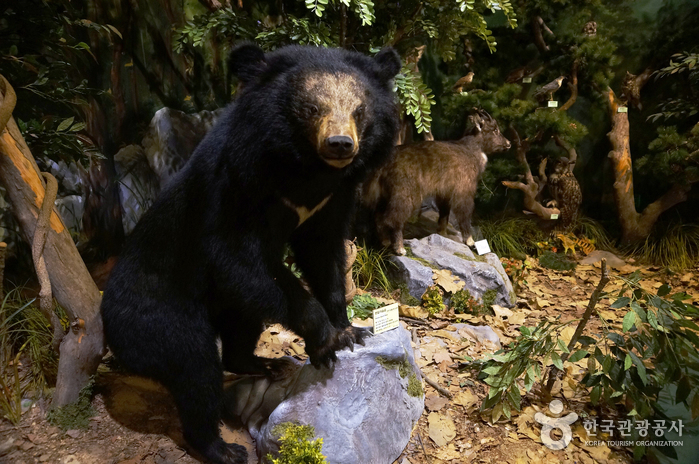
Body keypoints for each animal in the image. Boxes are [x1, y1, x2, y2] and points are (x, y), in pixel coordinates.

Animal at [101, 44, 402, 464]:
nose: (340, 144)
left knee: (239, 330)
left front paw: (349, 330)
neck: (303, 170)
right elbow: (235, 259)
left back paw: (267, 364)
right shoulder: (237, 186)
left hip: (230, 308)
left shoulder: (333, 199)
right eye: (311, 108)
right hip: (157, 317)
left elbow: (323, 252)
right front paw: (324, 339)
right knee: (195, 368)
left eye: (360, 110)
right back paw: (222, 447)